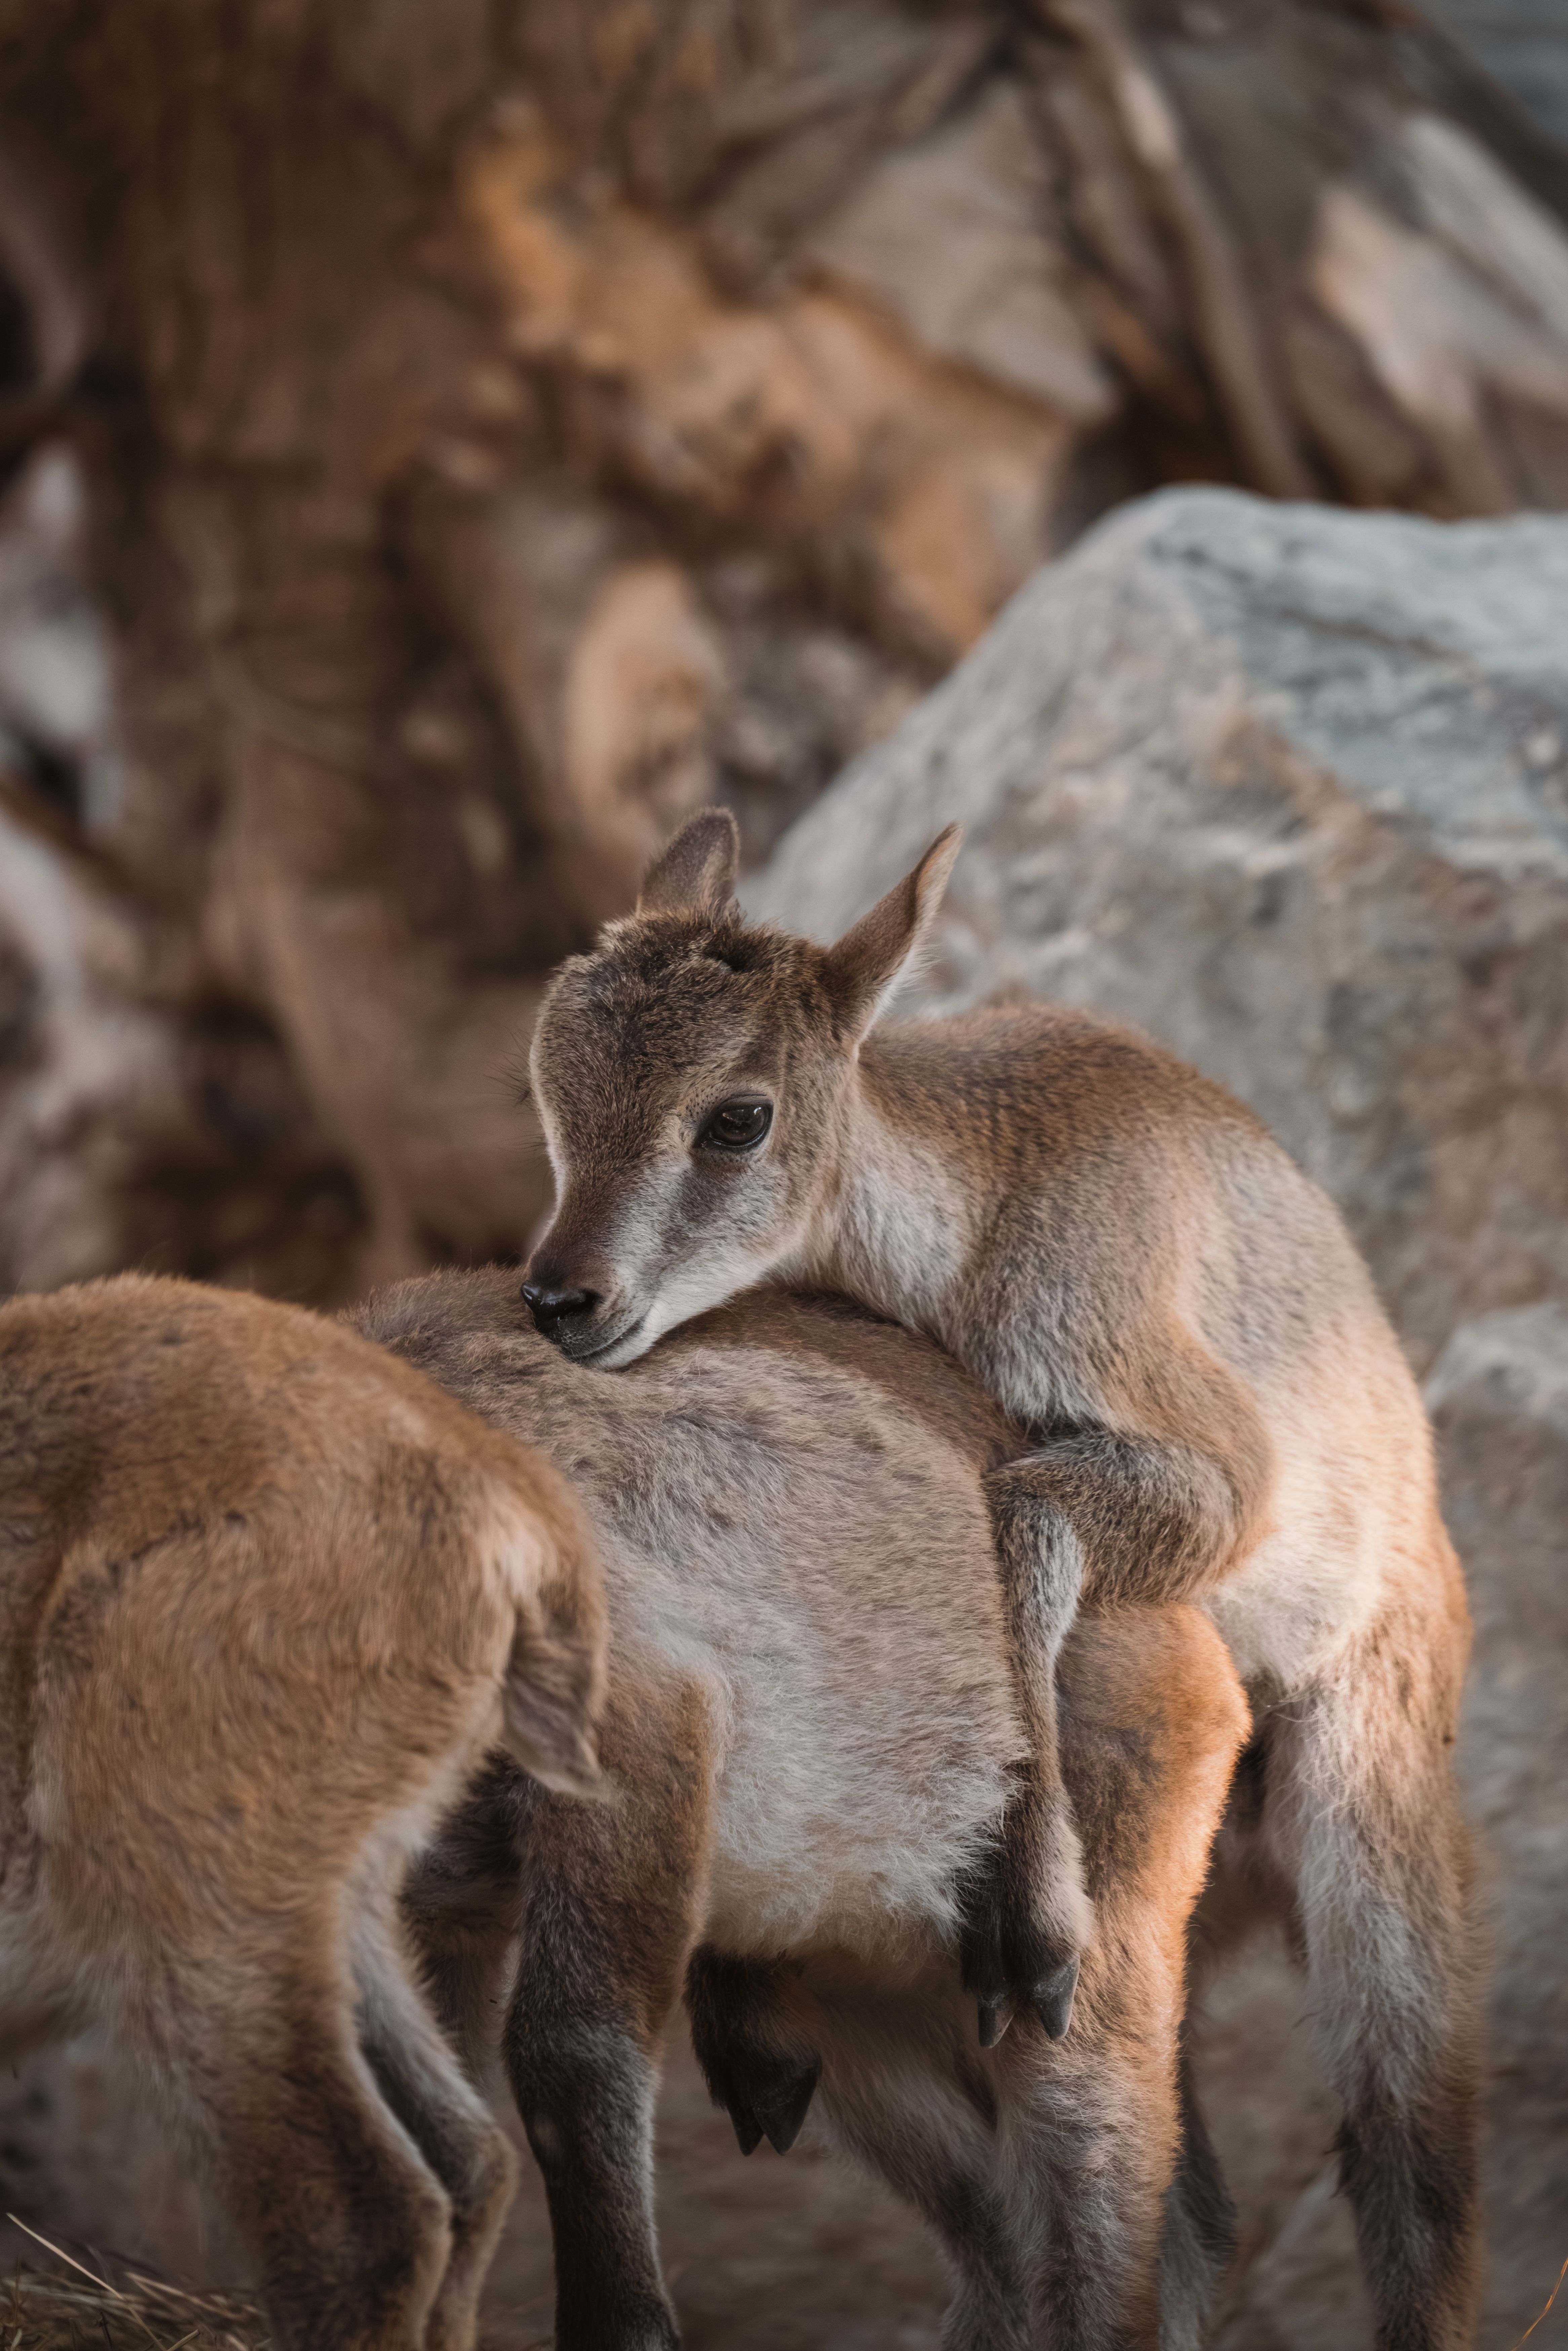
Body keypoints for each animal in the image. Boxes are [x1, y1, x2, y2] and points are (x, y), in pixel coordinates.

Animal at [358, 1268, 1250, 2351]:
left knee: (1108, 2205)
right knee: (1011, 2242)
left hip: (1070, 2002)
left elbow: (566, 2058)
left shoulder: (637, 1741)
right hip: (864, 2043)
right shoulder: (438, 1906)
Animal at [516, 808, 1480, 2351]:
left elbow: (1022, 1512)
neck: (973, 1220)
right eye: (549, 1079)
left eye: (737, 1114)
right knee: (1170, 2204)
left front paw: (1027, 1923)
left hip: (1370, 1802)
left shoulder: (1216, 1471)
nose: (564, 1299)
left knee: (1405, 2165)